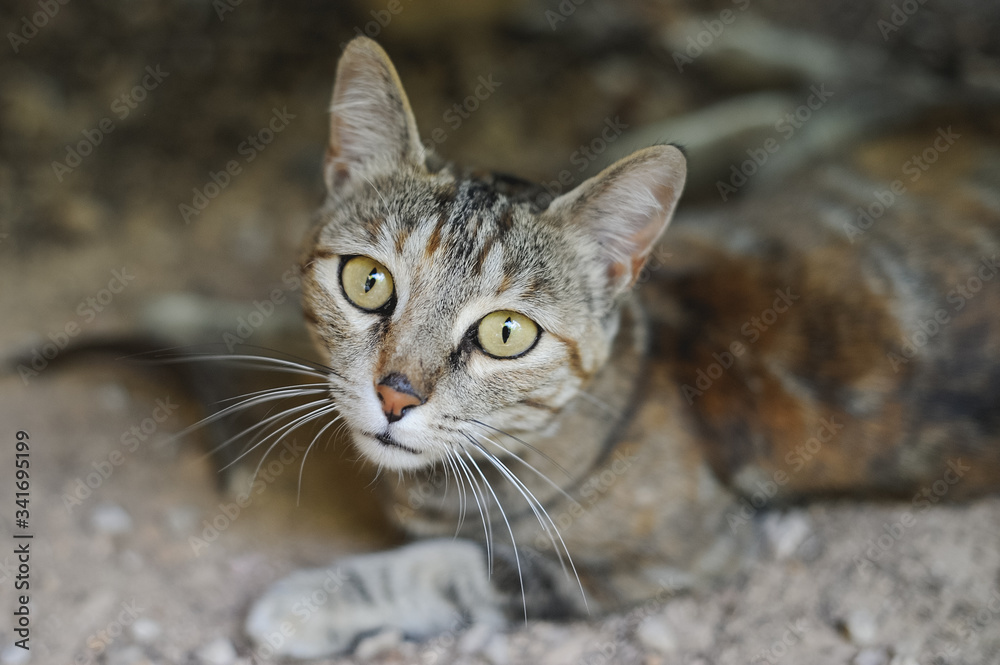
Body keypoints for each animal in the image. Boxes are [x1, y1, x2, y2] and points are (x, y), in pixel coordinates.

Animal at [242, 37, 1000, 660]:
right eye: (367, 282)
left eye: (506, 333)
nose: (395, 393)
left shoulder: (676, 553)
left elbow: (456, 566)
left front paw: (308, 603)